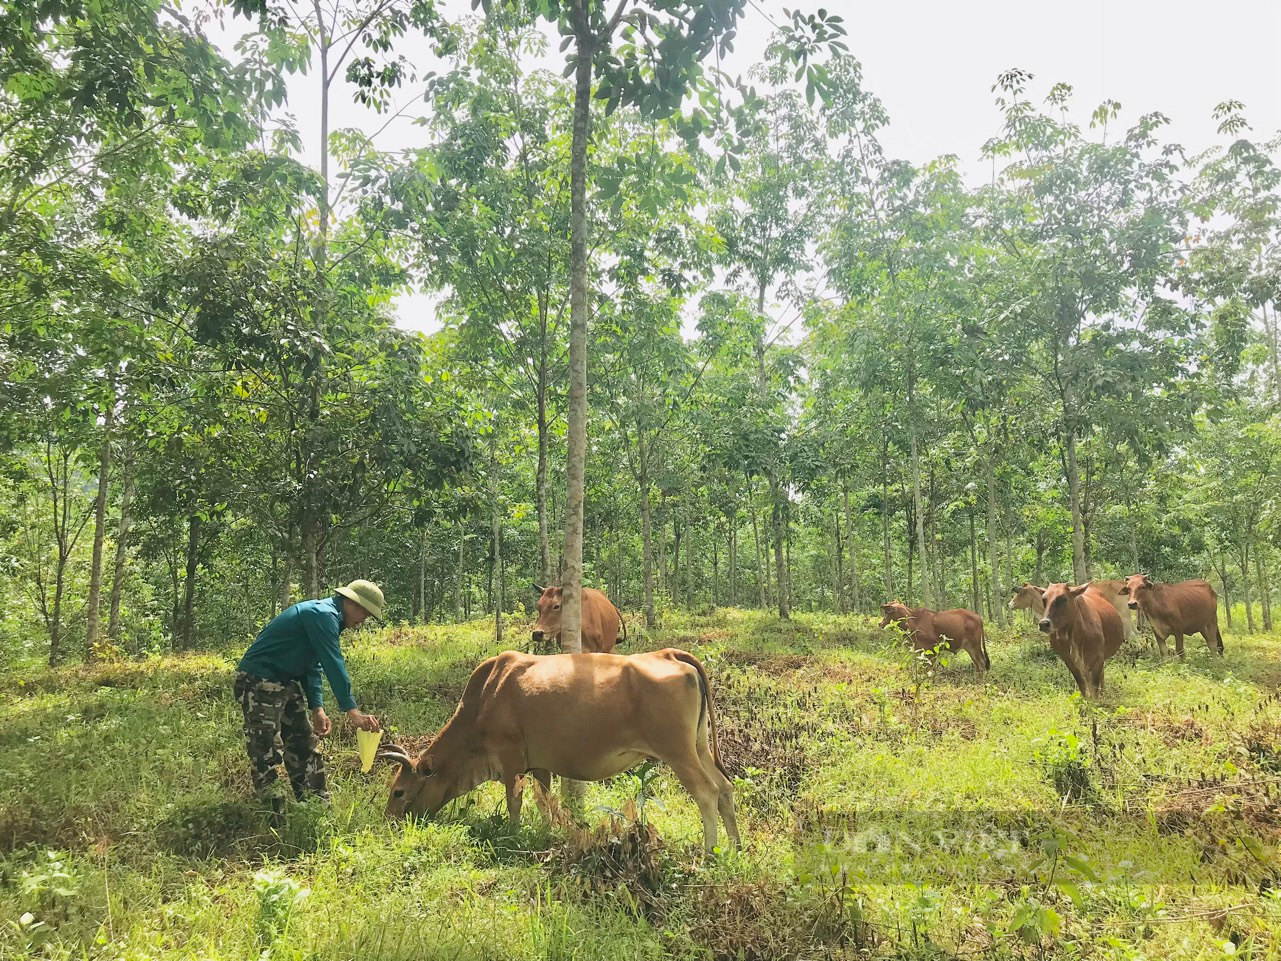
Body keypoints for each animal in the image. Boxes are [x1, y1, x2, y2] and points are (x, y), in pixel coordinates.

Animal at [374, 650, 742, 855]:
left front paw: (514, 834)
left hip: (677, 751)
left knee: (707, 792)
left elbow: (514, 802)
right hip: (698, 747)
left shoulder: (511, 759)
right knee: (725, 789)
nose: (389, 824)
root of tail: (669, 653)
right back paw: (735, 847)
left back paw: (710, 852)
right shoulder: (540, 765)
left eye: (399, 791)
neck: (484, 697)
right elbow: (544, 803)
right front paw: (547, 834)